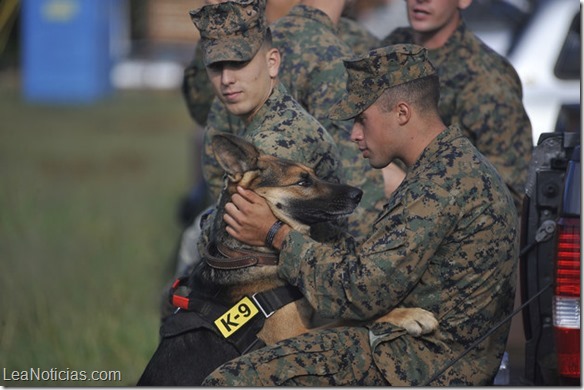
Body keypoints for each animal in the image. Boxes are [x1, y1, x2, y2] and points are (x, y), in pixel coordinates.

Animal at [138, 135, 438, 386]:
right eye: (302, 182)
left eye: (314, 174)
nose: (358, 194)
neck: (248, 256)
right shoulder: (292, 335)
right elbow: (352, 319)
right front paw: (409, 314)